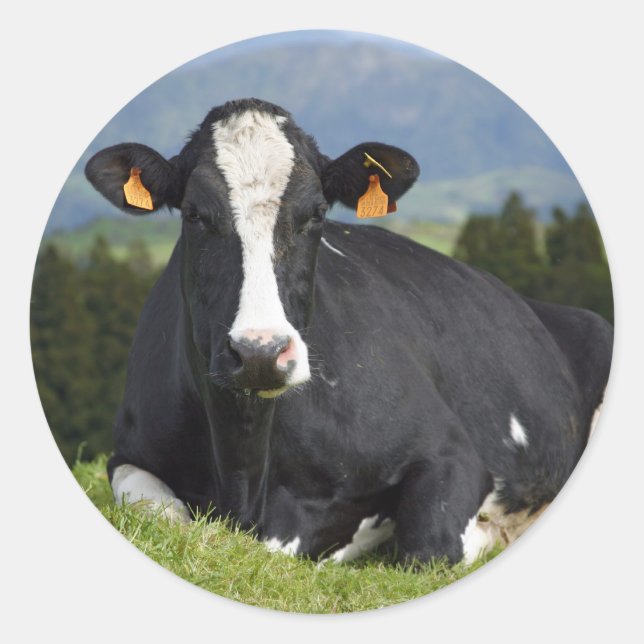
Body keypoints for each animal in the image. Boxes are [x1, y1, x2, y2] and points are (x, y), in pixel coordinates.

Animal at [85, 98, 612, 565]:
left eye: (316, 213)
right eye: (194, 213)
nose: (259, 352)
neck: (245, 473)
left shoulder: (450, 450)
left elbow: (429, 546)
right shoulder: (128, 454)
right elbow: (161, 515)